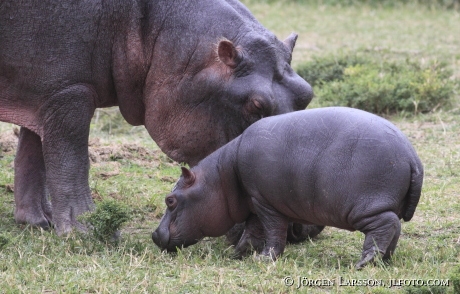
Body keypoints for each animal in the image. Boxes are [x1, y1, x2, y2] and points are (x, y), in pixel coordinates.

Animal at [152, 107, 424, 268]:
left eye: (170, 200)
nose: (154, 235)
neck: (221, 175)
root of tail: (413, 157)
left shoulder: (266, 203)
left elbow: (272, 231)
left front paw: (264, 259)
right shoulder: (254, 201)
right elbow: (252, 231)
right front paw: (239, 254)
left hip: (365, 207)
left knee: (384, 226)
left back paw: (362, 263)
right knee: (394, 227)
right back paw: (384, 261)